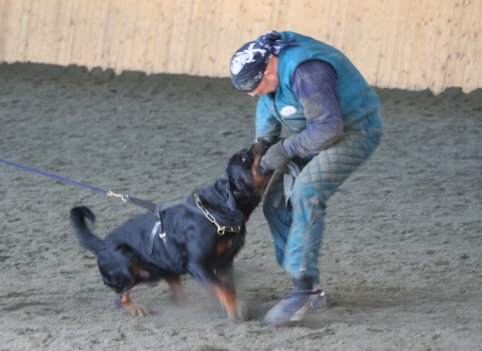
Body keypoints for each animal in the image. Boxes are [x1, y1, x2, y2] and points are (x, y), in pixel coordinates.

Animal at [69, 142, 272, 320]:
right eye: (244, 158)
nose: (260, 141)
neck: (218, 209)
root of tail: (102, 244)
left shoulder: (225, 262)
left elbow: (229, 288)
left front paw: (236, 306)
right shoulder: (198, 265)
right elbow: (222, 289)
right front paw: (234, 311)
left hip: (160, 267)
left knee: (176, 292)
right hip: (126, 260)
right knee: (120, 298)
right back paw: (136, 308)